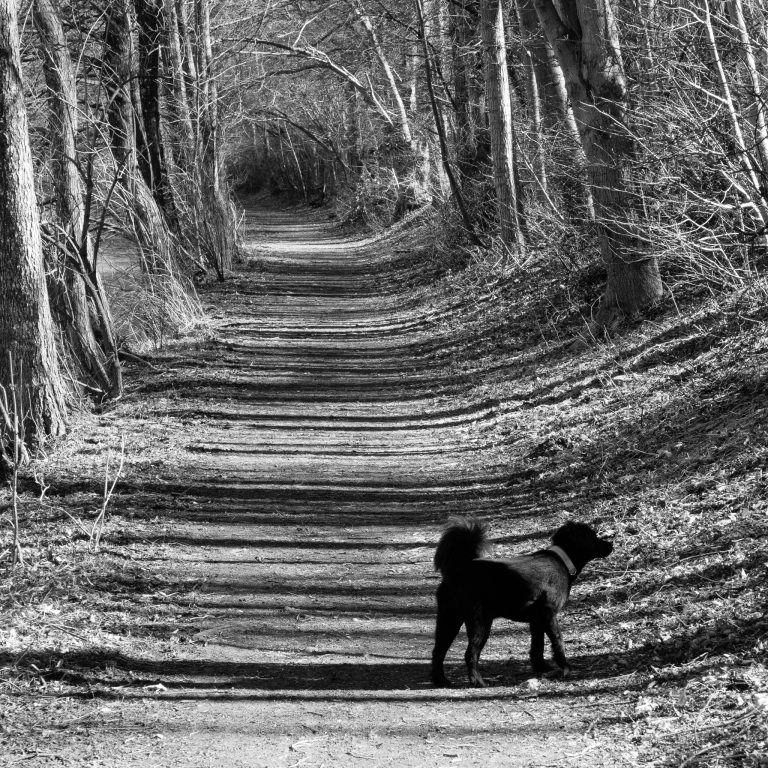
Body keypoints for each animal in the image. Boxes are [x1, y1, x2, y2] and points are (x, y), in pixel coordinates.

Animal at [432, 520, 612, 688]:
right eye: (593, 536)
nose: (611, 544)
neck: (563, 561)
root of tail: (458, 570)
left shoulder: (537, 620)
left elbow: (537, 645)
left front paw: (541, 667)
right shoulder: (549, 614)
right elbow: (557, 640)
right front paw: (565, 667)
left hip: (449, 620)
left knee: (438, 652)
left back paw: (441, 680)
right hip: (479, 623)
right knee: (470, 654)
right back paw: (478, 681)